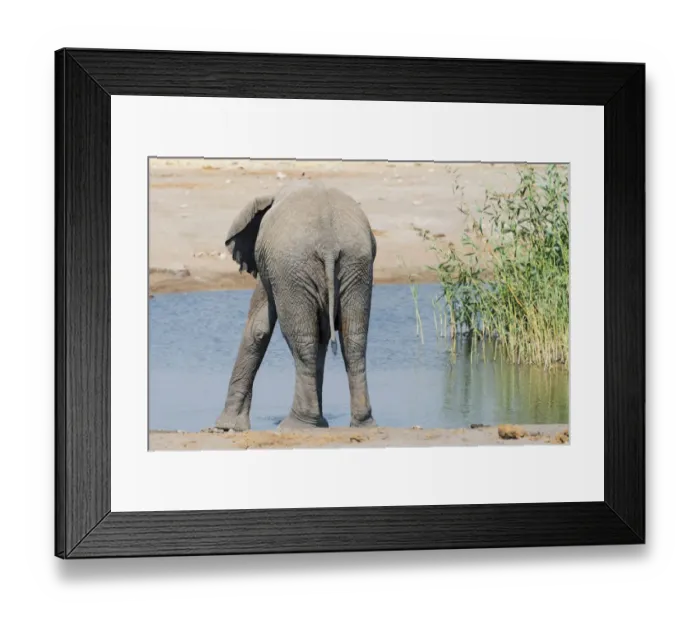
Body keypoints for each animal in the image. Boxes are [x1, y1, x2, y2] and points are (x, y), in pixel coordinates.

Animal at [214, 180, 377, 432]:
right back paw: (361, 424)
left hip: (293, 269)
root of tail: (329, 243)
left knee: (303, 340)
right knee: (354, 340)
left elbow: (258, 328)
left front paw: (226, 427)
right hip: (356, 266)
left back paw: (296, 424)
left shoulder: (273, 270)